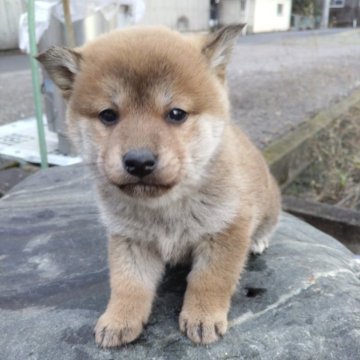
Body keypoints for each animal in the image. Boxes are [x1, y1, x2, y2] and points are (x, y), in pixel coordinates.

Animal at [38, 23, 280, 348]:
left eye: (176, 113)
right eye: (108, 115)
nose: (139, 162)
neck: (164, 209)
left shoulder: (227, 229)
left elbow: (210, 280)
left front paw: (202, 317)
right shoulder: (129, 240)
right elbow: (129, 284)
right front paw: (119, 319)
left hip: (270, 204)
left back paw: (259, 241)